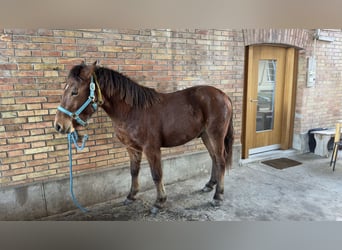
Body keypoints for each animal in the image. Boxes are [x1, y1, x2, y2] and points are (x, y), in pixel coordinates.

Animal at [54, 61, 235, 213]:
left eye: (74, 91)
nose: (59, 125)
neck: (132, 111)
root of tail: (223, 95)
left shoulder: (151, 148)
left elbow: (156, 174)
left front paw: (159, 202)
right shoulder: (132, 148)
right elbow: (134, 171)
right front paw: (131, 196)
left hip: (215, 135)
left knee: (220, 160)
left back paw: (218, 196)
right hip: (205, 136)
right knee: (214, 158)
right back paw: (209, 185)